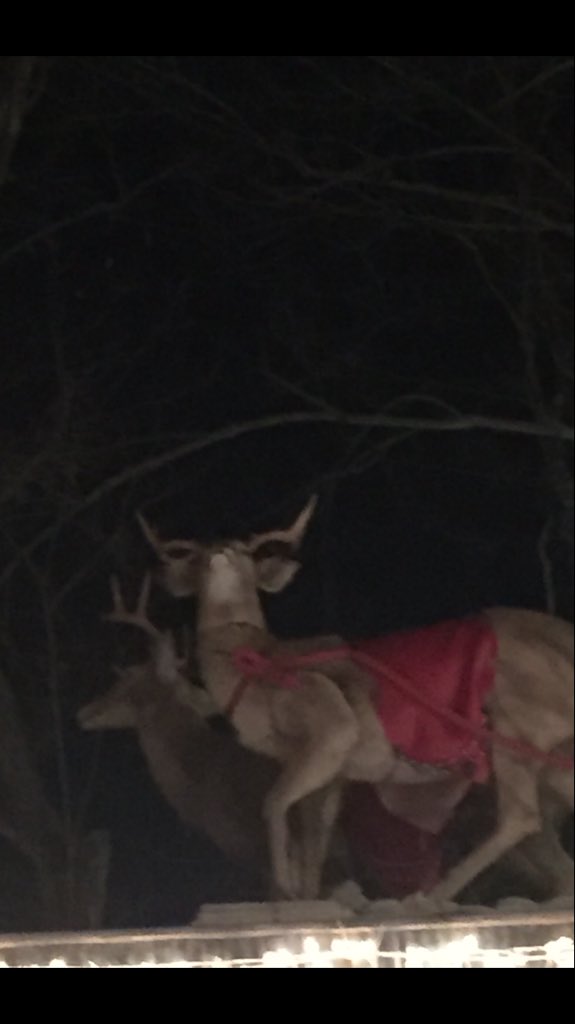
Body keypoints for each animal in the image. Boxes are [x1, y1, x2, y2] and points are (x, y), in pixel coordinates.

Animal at [138, 498, 574, 904]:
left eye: (249, 553)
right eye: (195, 556)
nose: (221, 549)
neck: (256, 666)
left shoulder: (332, 725)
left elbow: (274, 803)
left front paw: (285, 888)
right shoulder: (335, 771)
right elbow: (315, 837)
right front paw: (305, 895)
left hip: (516, 721)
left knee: (521, 816)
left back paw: (430, 897)